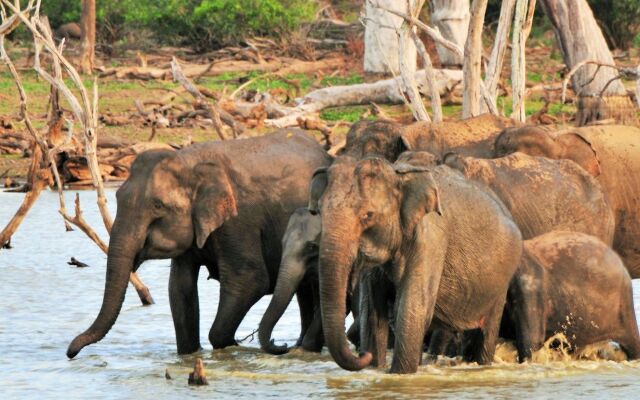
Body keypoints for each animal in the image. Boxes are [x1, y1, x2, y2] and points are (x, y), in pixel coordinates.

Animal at [312, 155, 524, 372]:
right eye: (319, 212)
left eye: (368, 215)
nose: (363, 354)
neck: (397, 174)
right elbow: (372, 311)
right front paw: (375, 368)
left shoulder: (431, 239)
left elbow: (411, 307)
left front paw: (399, 374)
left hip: (501, 284)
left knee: (486, 332)